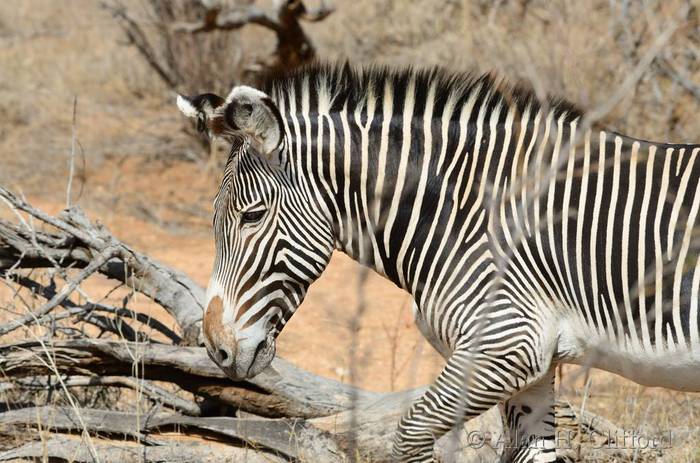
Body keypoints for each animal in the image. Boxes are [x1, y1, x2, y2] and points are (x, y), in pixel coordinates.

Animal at [176, 62, 700, 463]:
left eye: (252, 216)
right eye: (214, 219)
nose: (216, 349)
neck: (469, 214)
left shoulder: (503, 345)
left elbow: (409, 434)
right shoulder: (533, 366)